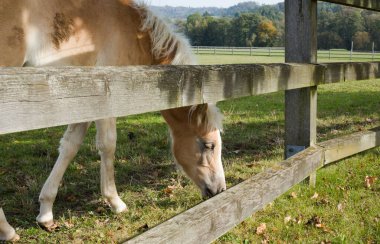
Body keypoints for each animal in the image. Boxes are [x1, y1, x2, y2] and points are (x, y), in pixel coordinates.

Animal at [0, 0, 226, 240]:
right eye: (209, 145)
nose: (220, 189)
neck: (135, 31)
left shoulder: (83, 102)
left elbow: (69, 147)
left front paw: (46, 212)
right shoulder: (107, 99)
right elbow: (108, 145)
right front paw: (116, 202)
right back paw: (6, 229)